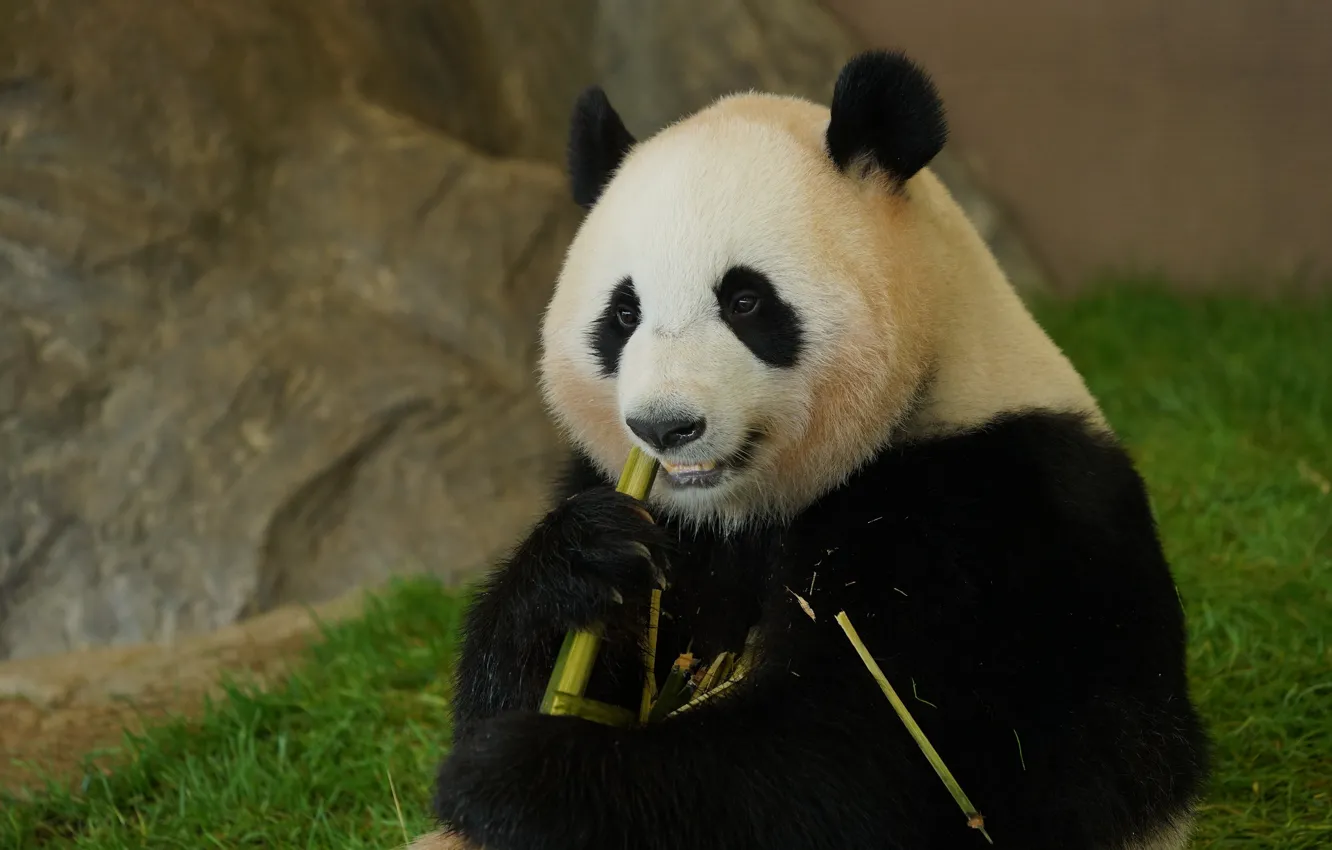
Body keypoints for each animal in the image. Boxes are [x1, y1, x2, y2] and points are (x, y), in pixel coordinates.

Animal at [418, 49, 1210, 850]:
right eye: (623, 313)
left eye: (745, 301)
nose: (665, 426)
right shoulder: (656, 513)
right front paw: (580, 562)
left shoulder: (984, 516)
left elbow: (863, 761)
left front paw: (514, 771)